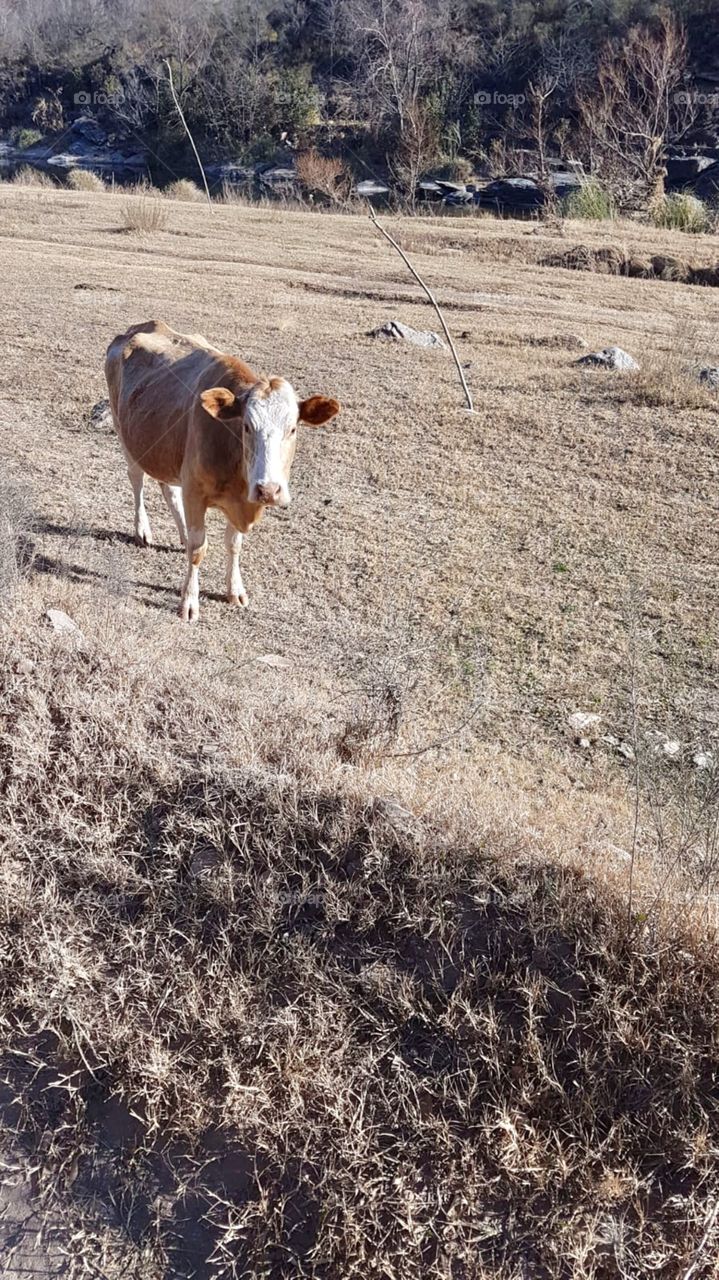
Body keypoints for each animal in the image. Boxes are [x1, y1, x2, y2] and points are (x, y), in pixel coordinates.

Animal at [105, 321, 340, 621]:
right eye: (247, 426)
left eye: (293, 429)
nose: (268, 490)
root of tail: (139, 327)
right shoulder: (195, 491)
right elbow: (198, 548)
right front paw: (189, 601)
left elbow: (234, 544)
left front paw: (234, 590)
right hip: (125, 434)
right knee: (137, 481)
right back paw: (143, 530)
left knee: (169, 489)